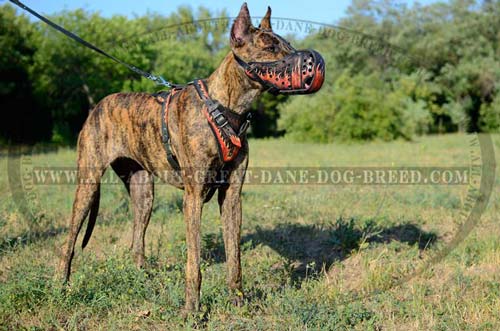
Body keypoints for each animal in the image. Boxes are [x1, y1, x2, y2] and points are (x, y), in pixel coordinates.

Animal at [58, 2, 326, 312]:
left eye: (289, 45)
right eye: (270, 48)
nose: (314, 60)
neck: (225, 108)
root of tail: (98, 106)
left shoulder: (232, 196)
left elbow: (234, 257)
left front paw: (238, 299)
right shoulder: (193, 197)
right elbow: (193, 262)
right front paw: (192, 309)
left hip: (143, 192)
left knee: (137, 241)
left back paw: (141, 278)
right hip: (88, 185)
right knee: (68, 242)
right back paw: (61, 286)